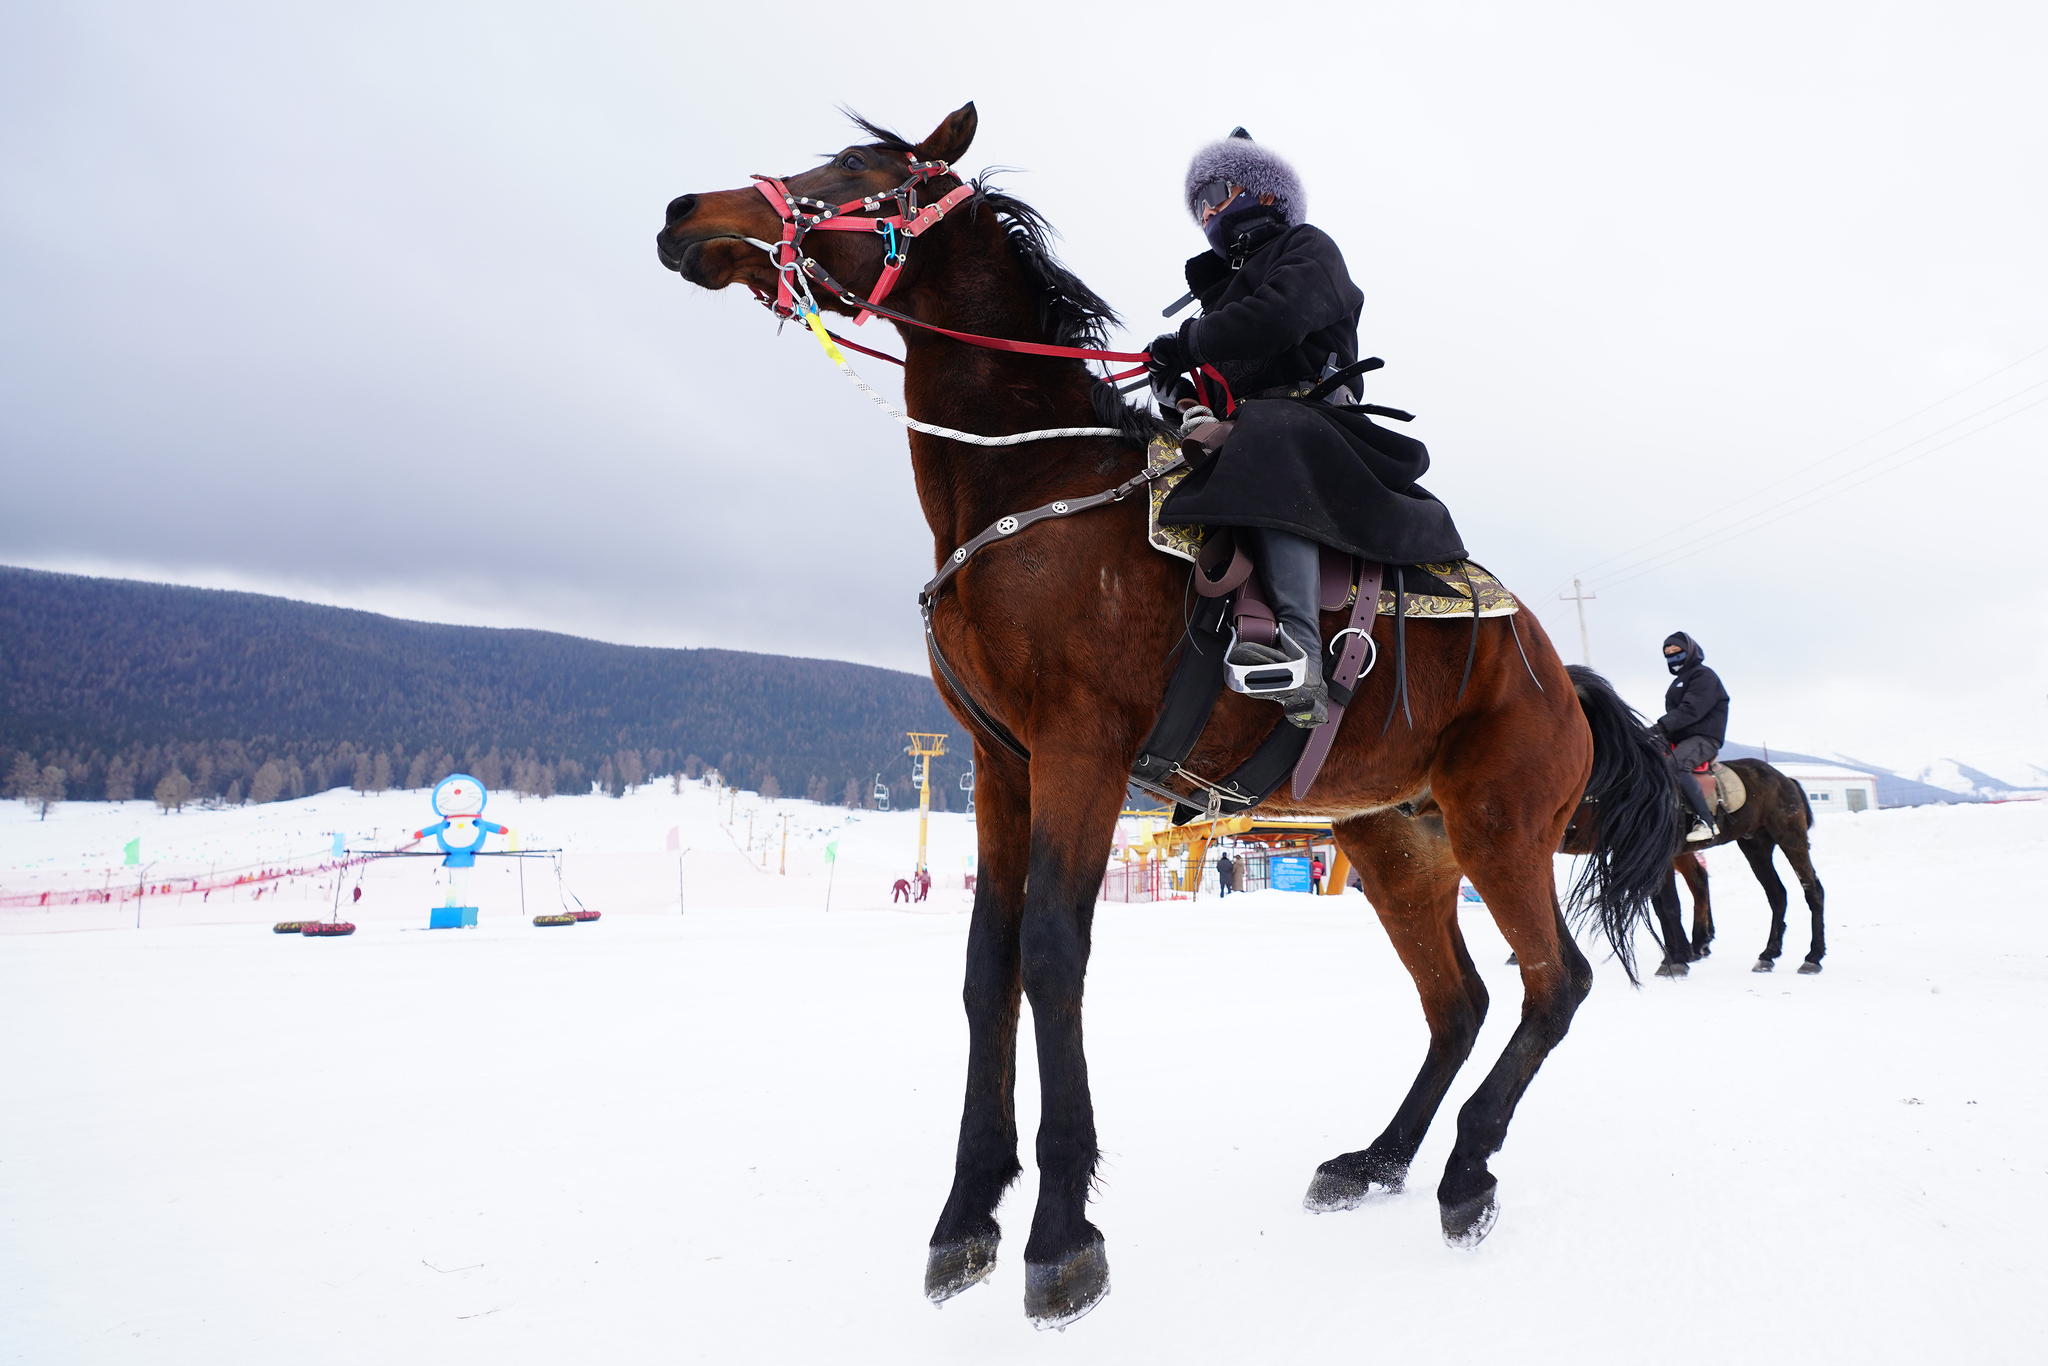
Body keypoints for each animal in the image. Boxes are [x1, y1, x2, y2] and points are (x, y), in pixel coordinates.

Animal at [657, 103, 1678, 1328]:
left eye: (864, 170)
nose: (686, 214)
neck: (1027, 488)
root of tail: (1555, 673)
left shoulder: (1081, 754)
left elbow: (1052, 952)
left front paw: (1059, 1234)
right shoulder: (999, 764)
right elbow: (987, 966)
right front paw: (965, 1216)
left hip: (1501, 827)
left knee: (1552, 985)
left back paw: (1466, 1171)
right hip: (1391, 841)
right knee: (1460, 1001)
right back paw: (1377, 1158)